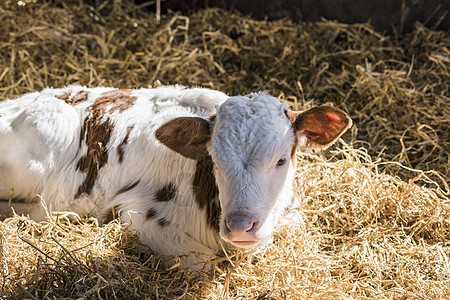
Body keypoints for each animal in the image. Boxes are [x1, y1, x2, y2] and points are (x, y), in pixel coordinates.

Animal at [0, 84, 352, 268]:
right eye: (215, 161)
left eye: (280, 160)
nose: (240, 226)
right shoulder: (138, 213)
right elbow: (200, 262)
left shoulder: (292, 211)